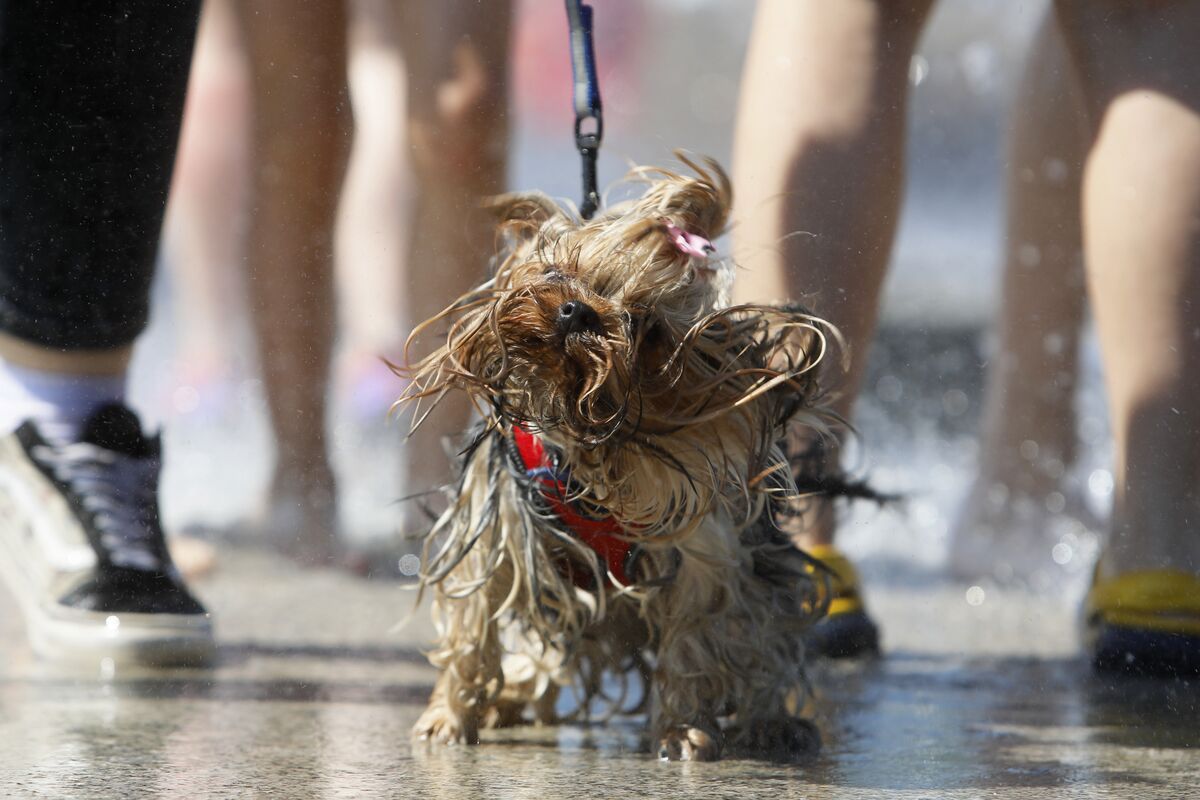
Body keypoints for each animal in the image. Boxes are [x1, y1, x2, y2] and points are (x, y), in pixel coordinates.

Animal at [398, 158, 840, 762]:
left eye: (646, 327)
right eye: (557, 272)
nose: (575, 312)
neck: (584, 443)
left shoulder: (703, 548)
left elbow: (695, 642)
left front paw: (682, 731)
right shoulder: (493, 525)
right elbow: (472, 624)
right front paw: (447, 717)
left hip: (766, 579)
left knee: (763, 638)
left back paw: (774, 723)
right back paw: (510, 696)